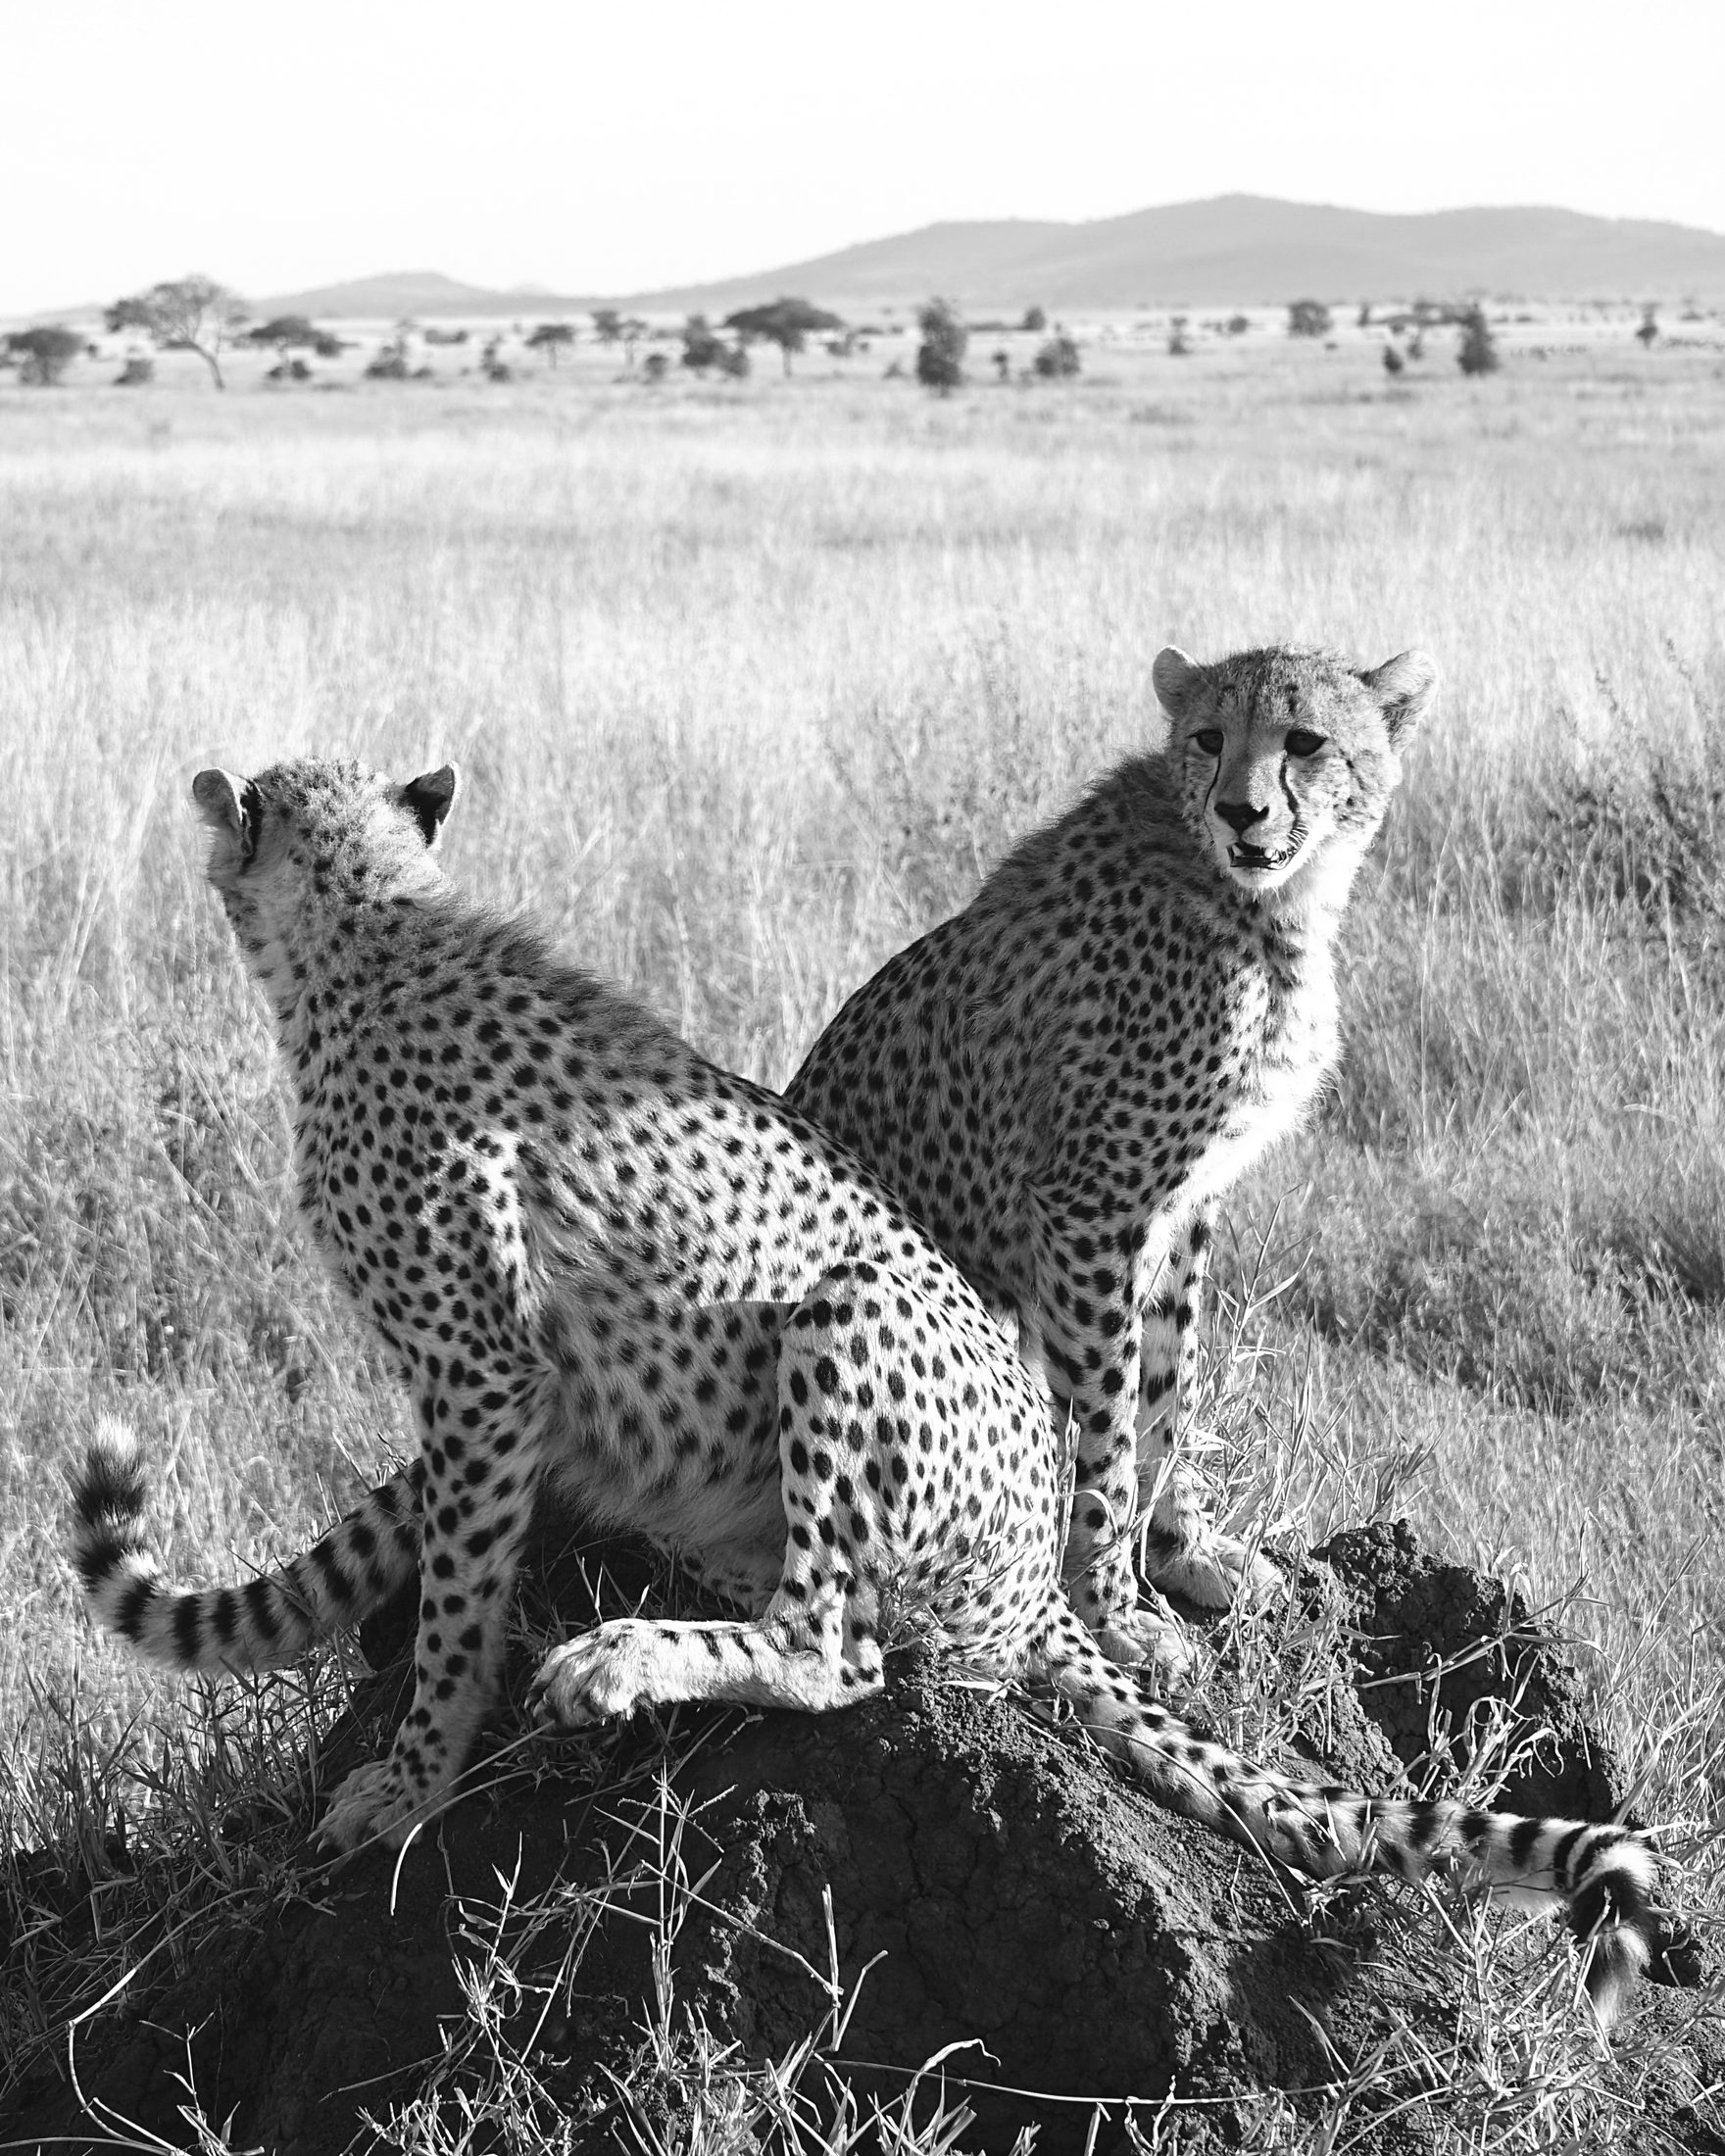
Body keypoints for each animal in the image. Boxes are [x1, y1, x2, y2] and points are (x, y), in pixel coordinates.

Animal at [69, 753, 1659, 2028]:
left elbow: (458, 1609)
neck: (370, 933)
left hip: (848, 1317)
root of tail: (1040, 1591)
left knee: (839, 1653)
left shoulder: (485, 1371)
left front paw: (410, 1785)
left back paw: (624, 1660)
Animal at [786, 642, 1438, 1680]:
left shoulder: (1185, 1202)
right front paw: (1113, 1611)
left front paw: (1185, 1555)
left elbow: (1170, 1389)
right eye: (1208, 738)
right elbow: (1108, 1421)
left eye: (1304, 741)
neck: (1262, 906)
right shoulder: (1092, 1205)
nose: (1240, 810)